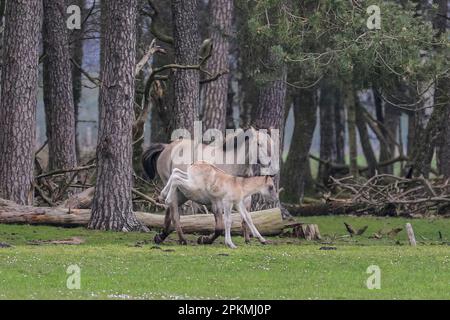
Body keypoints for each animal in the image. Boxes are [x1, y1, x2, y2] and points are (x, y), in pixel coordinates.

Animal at [143, 126, 278, 244]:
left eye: (272, 143)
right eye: (259, 144)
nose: (272, 169)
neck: (233, 165)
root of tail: (167, 147)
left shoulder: (244, 198)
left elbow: (246, 218)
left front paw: (249, 239)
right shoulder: (216, 201)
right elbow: (219, 227)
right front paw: (204, 239)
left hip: (184, 190)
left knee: (170, 208)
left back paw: (162, 235)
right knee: (173, 207)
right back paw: (181, 238)